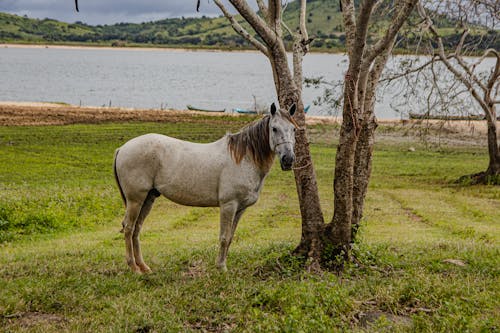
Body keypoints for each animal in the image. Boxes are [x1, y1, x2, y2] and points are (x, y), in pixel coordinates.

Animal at [113, 102, 296, 272]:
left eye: (293, 129)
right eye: (274, 129)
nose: (288, 159)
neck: (243, 159)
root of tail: (122, 148)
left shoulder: (240, 208)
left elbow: (230, 237)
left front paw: (222, 265)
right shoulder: (229, 205)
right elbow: (224, 237)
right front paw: (221, 268)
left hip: (148, 198)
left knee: (136, 229)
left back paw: (144, 268)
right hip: (135, 200)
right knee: (129, 228)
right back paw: (134, 268)